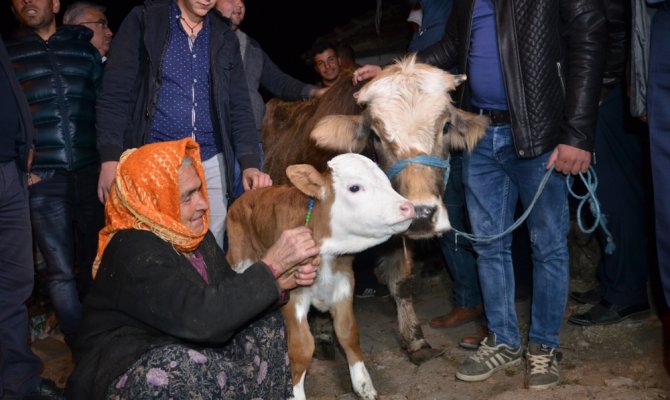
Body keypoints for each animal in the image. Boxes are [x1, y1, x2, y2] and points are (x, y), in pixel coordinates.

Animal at [262, 56, 488, 366]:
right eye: (377, 136)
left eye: (445, 127)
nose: (422, 214)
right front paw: (323, 337)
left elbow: (402, 281)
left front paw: (415, 340)